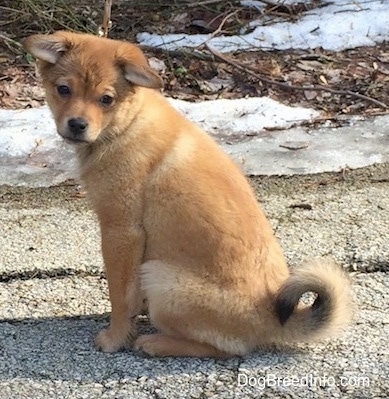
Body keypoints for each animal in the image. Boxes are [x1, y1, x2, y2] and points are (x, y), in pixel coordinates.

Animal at [24, 32, 352, 360]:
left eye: (106, 99)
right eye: (63, 90)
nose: (77, 125)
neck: (126, 125)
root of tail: (272, 318)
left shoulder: (121, 232)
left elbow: (120, 296)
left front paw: (116, 338)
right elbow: (129, 295)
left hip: (159, 277)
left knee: (228, 349)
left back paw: (157, 343)